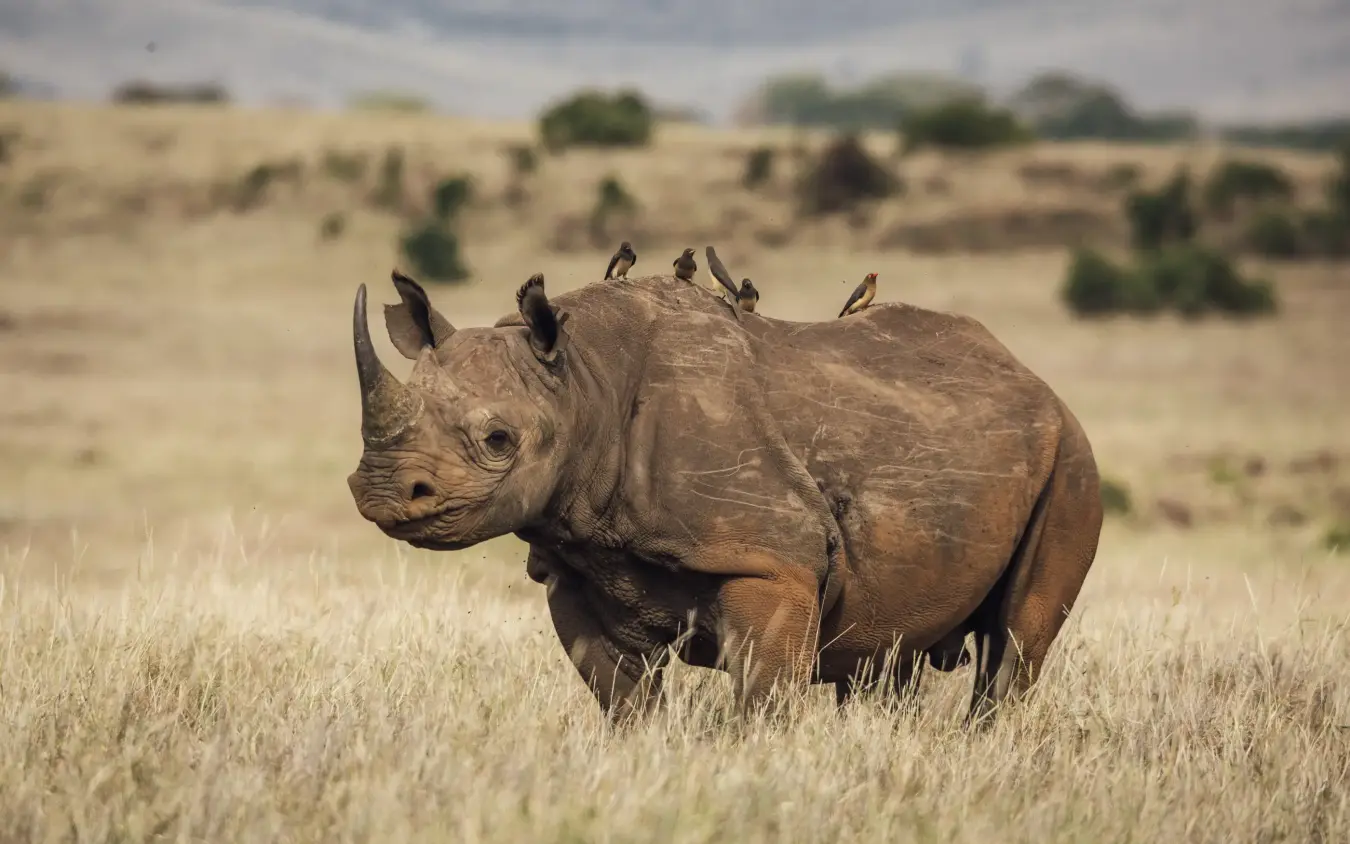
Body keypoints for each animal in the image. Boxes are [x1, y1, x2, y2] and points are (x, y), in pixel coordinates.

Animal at [347, 269, 1104, 724]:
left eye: (499, 439)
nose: (382, 491)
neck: (584, 381)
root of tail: (1034, 379)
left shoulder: (771, 561)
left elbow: (763, 698)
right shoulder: (574, 564)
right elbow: (623, 700)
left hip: (1072, 458)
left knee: (1015, 641)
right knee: (888, 653)